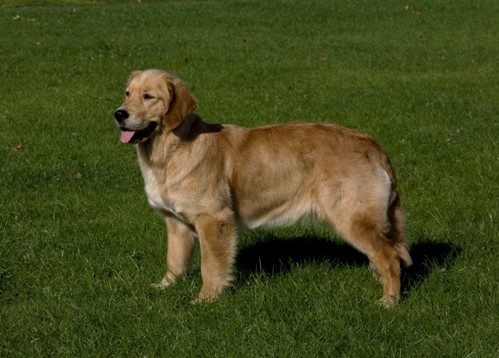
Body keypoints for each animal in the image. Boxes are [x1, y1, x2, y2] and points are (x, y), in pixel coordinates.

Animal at [115, 69, 412, 308]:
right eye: (127, 93)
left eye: (148, 96)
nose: (119, 113)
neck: (171, 150)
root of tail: (372, 144)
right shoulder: (176, 222)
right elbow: (175, 261)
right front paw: (165, 287)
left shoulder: (214, 219)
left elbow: (211, 266)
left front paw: (205, 299)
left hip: (351, 217)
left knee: (390, 257)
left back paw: (389, 300)